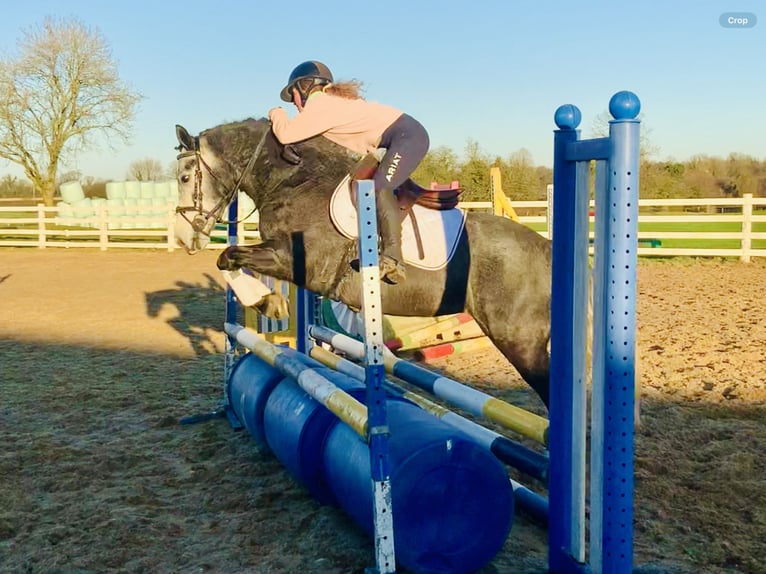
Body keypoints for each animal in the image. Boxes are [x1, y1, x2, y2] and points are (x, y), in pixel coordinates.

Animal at [176, 117, 560, 408]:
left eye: (184, 177)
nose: (182, 239)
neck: (294, 181)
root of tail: (544, 249)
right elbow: (227, 260)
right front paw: (267, 301)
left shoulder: (299, 262)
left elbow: (229, 257)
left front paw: (267, 301)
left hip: (520, 340)